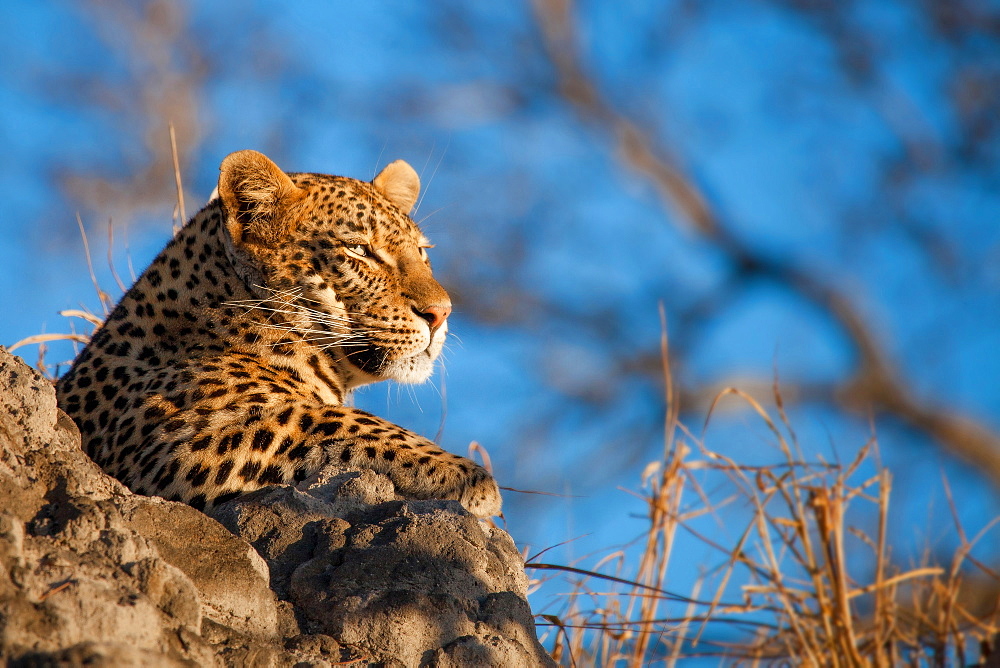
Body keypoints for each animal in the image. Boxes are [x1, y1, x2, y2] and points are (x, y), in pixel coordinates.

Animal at [56, 150, 500, 516]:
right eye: (359, 250)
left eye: (422, 252)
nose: (440, 313)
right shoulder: (174, 443)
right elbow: (330, 420)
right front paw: (470, 476)